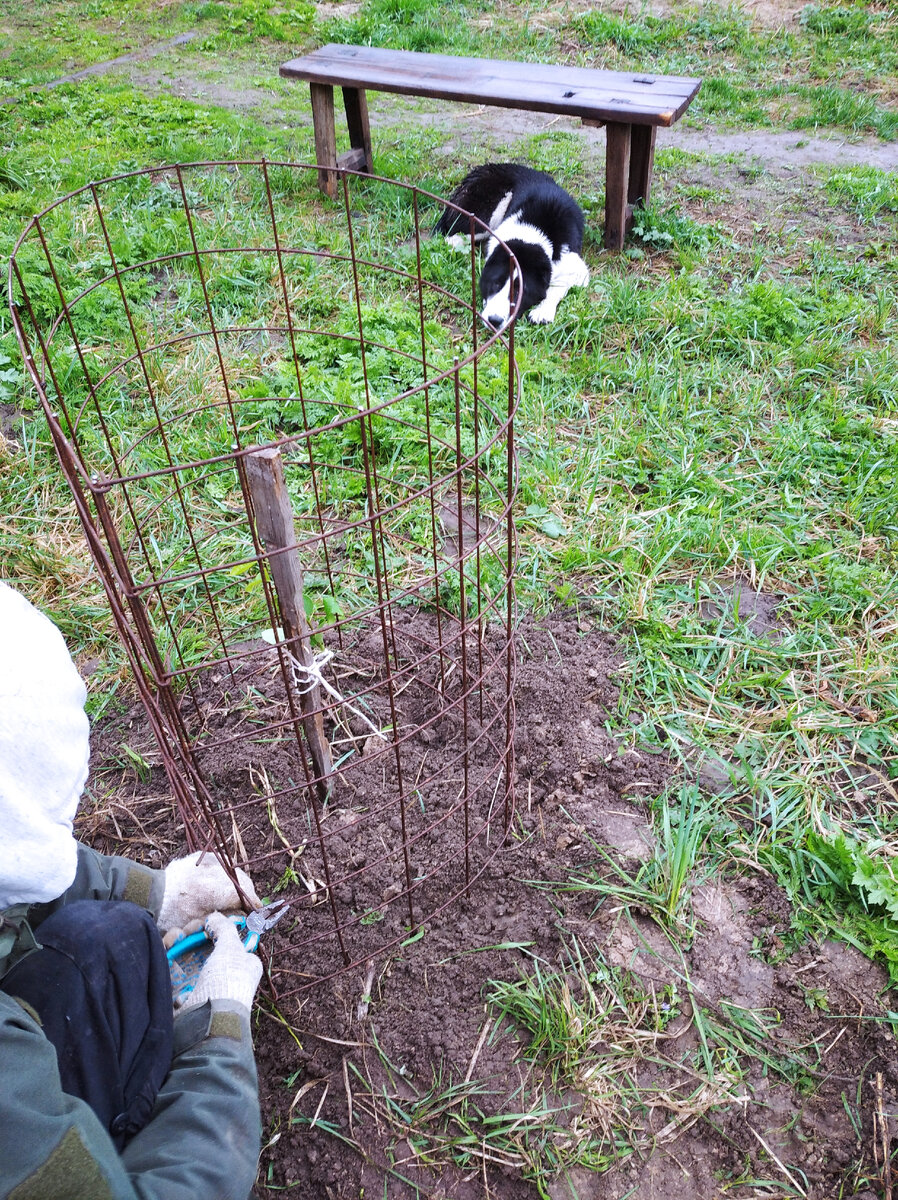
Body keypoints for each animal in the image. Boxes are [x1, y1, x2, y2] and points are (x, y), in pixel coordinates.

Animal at [434, 162, 588, 328]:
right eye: (495, 284)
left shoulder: (577, 269)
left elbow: (557, 286)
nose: (494, 321)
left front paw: (542, 311)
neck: (532, 231)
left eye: (519, 292)